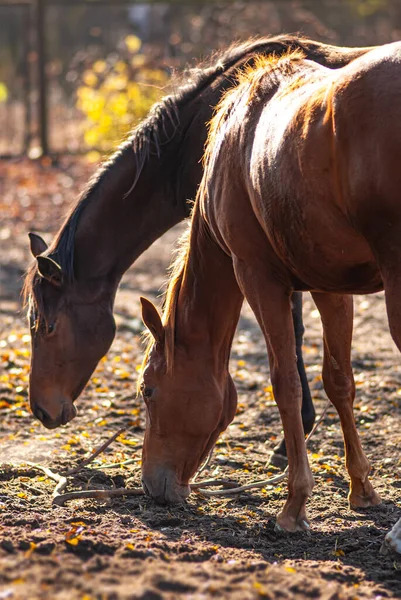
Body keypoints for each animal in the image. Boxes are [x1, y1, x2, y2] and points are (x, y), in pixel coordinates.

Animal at [138, 42, 400, 528]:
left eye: (148, 390)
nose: (151, 485)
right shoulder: (330, 287)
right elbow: (339, 380)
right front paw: (362, 489)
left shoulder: (257, 276)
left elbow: (286, 382)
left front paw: (294, 503)